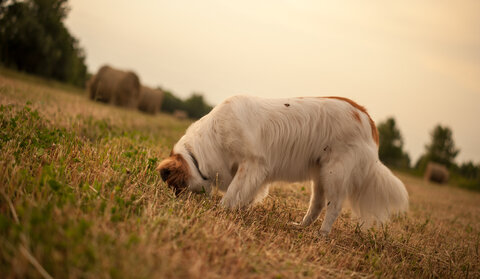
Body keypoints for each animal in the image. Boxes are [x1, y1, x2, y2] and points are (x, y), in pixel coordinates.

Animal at [158, 95, 408, 235]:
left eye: (174, 187)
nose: (174, 203)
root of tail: (366, 118)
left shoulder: (251, 164)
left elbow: (231, 194)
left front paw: (221, 210)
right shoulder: (255, 174)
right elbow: (245, 195)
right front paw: (240, 209)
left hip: (334, 173)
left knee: (334, 206)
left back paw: (322, 234)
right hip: (320, 175)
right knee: (317, 205)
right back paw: (301, 227)